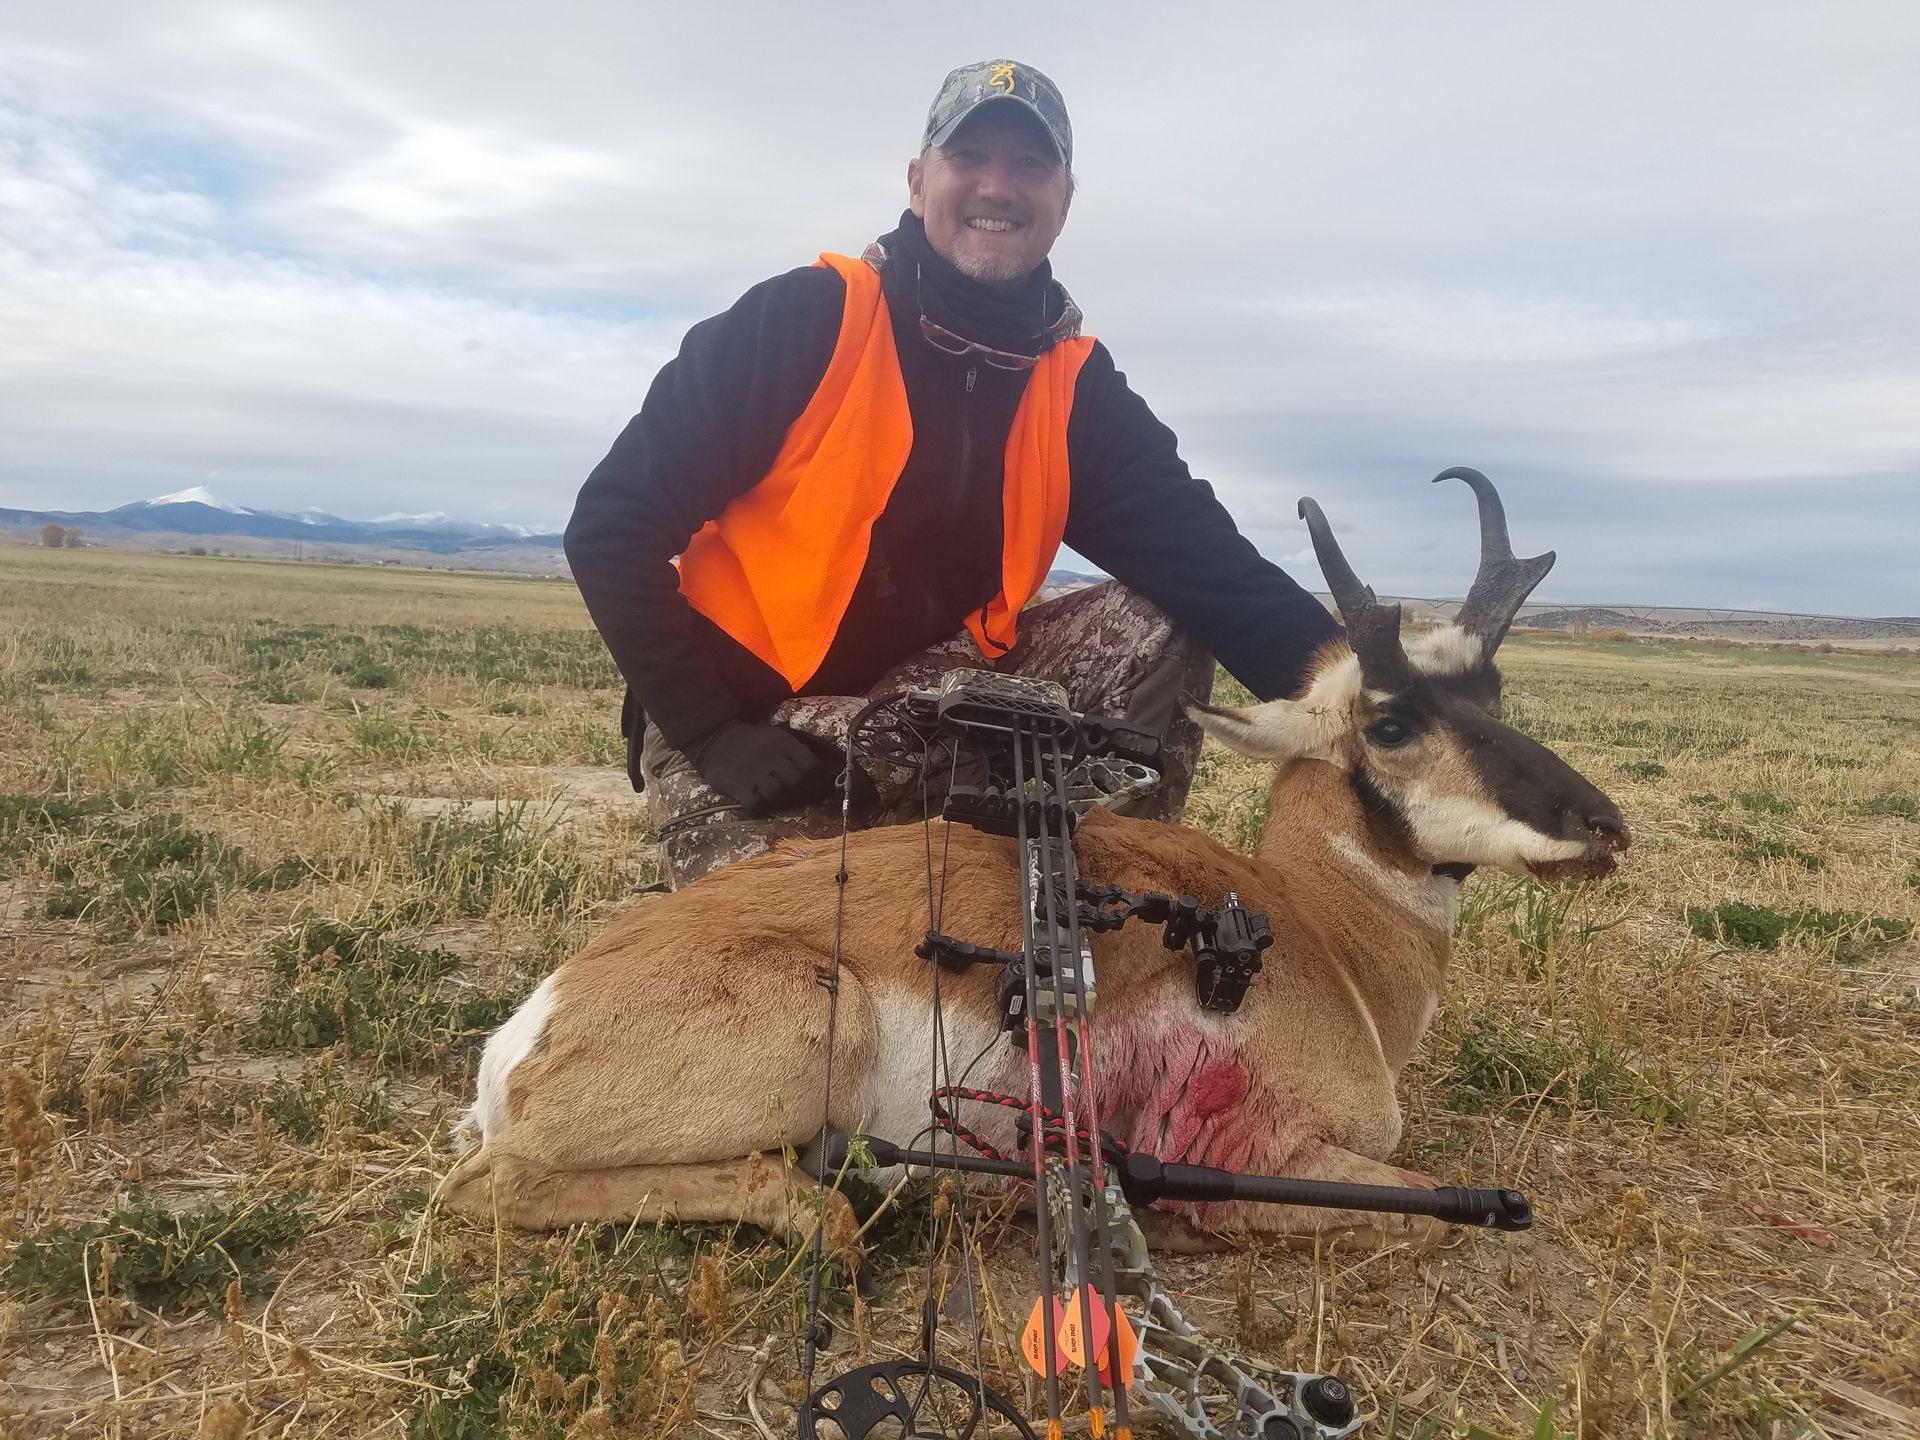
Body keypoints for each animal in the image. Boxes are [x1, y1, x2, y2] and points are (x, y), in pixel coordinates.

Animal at [439, 470, 1629, 1248]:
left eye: (1495, 694)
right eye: (1390, 722)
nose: (1606, 827)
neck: (1317, 927)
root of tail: (532, 1024)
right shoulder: (1269, 1162)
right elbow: (1427, 1211)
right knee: (493, 1188)